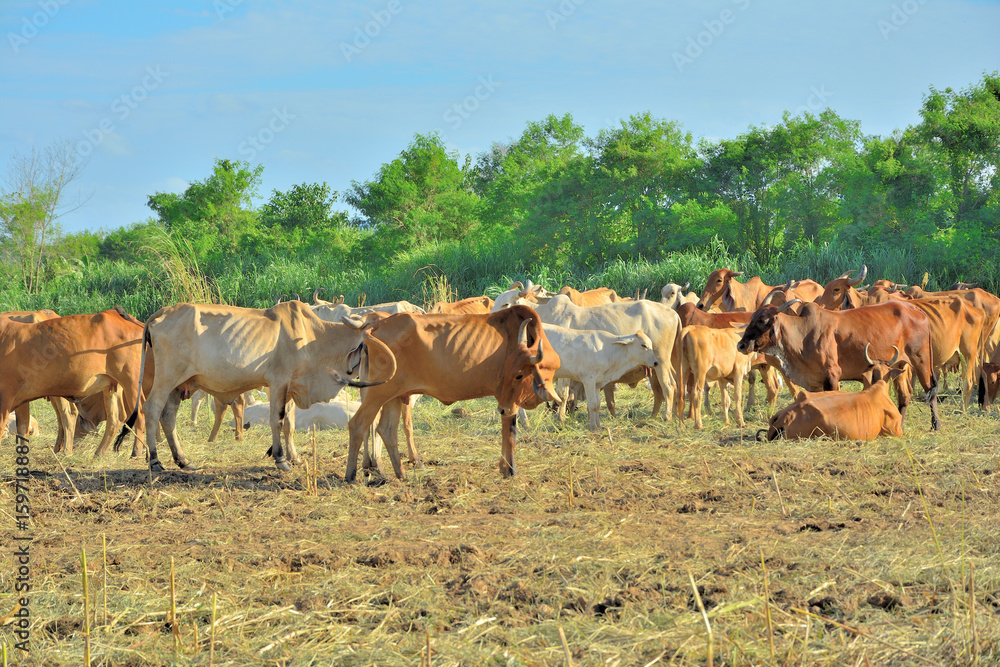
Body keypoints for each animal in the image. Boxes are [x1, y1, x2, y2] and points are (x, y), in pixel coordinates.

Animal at [0, 310, 146, 460]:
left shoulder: (5, 397)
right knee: (115, 417)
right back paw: (98, 453)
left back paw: (136, 452)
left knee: (141, 414)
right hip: (112, 385)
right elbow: (22, 427)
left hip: (131, 380)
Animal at [115, 302, 396, 474]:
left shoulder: (290, 386)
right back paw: (155, 461)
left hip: (179, 385)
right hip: (166, 379)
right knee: (152, 411)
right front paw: (281, 459)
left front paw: (294, 457)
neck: (314, 337)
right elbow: (277, 420)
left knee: (168, 417)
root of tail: (162, 312)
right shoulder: (278, 382)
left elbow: (289, 424)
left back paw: (183, 461)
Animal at [346, 306, 564, 482]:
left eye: (519, 374)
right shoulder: (507, 400)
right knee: (358, 425)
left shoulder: (508, 401)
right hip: (378, 393)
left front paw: (505, 468)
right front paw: (510, 471)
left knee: (386, 430)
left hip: (394, 395)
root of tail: (377, 325)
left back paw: (401, 474)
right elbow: (510, 433)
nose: (501, 408)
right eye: (511, 372)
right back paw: (351, 476)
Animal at [736, 300, 936, 430]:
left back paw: (936, 425)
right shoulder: (815, 381)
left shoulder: (832, 375)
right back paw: (900, 423)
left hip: (921, 360)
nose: (741, 345)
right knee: (904, 396)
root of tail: (918, 310)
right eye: (752, 317)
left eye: (762, 320)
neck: (803, 335)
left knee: (930, 389)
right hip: (900, 366)